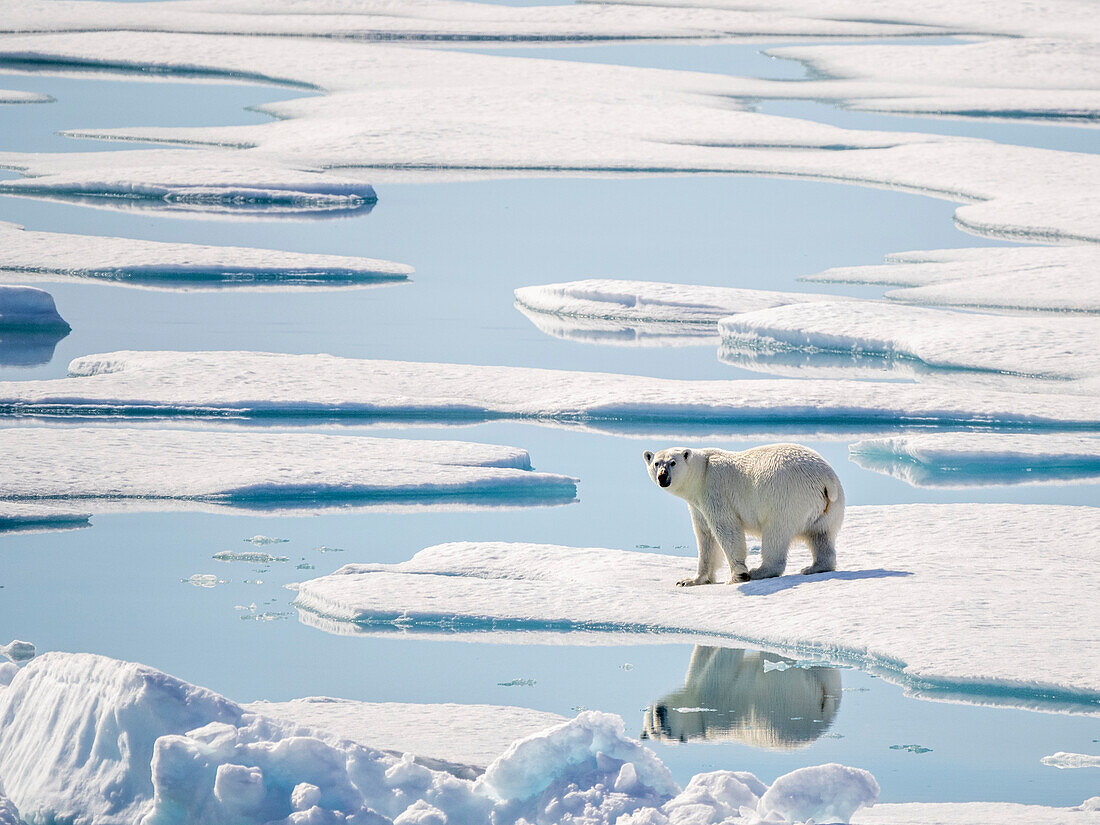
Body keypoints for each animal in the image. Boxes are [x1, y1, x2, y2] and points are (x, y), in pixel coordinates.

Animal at [642, 442, 844, 585]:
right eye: (656, 463)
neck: (702, 473)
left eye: (673, 462)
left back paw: (760, 571)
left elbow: (726, 528)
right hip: (828, 508)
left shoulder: (715, 491)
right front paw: (690, 580)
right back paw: (814, 567)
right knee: (820, 534)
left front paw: (737, 575)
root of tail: (827, 480)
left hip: (786, 497)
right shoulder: (697, 505)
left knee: (775, 533)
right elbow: (705, 536)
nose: (662, 477)